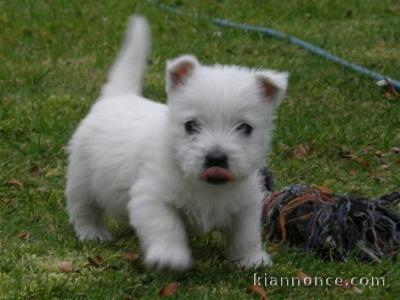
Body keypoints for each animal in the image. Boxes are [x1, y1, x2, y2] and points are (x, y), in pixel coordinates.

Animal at [67, 15, 290, 270]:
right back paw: (92, 233)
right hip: (81, 179)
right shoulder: (152, 197)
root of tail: (117, 96)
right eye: (190, 125)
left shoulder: (247, 203)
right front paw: (169, 256)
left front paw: (251, 260)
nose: (216, 158)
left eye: (245, 128)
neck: (207, 187)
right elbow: (166, 225)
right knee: (84, 209)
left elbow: (245, 234)